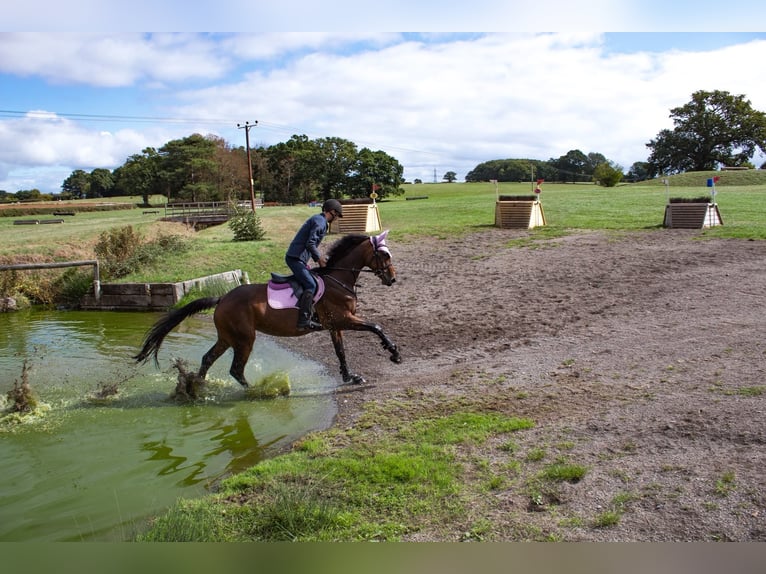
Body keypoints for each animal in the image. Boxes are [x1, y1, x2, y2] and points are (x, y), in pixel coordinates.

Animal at [134, 230, 402, 393]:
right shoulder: (344, 319)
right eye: (383, 254)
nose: (392, 279)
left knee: (208, 359)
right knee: (236, 369)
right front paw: (394, 354)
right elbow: (376, 327)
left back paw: (196, 388)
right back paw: (258, 391)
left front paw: (351, 377)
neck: (338, 279)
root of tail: (222, 298)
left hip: (227, 337)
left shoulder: (334, 325)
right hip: (244, 339)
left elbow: (341, 352)